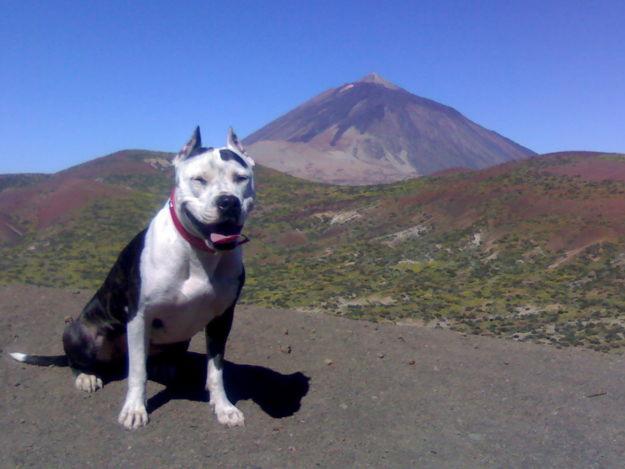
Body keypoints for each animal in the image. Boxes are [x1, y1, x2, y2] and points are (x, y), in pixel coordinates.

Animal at [10, 126, 254, 430]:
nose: (228, 201)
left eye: (241, 178)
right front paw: (135, 409)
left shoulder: (222, 319)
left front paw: (223, 407)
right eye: (199, 179)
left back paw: (165, 367)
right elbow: (137, 370)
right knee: (78, 360)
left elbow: (216, 368)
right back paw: (86, 376)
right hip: (80, 331)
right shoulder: (140, 316)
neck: (199, 252)